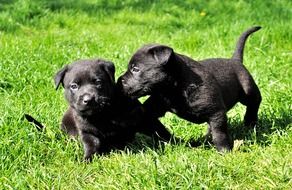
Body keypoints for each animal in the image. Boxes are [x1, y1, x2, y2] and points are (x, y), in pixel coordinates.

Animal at [118, 26, 262, 152]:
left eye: (135, 69)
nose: (120, 80)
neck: (175, 88)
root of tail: (235, 60)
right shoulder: (155, 105)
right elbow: (154, 125)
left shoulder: (216, 113)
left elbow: (219, 134)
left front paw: (225, 151)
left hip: (247, 90)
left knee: (255, 102)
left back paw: (250, 121)